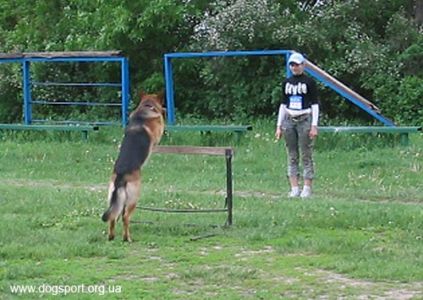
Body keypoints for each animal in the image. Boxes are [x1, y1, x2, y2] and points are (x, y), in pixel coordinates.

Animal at [102, 91, 165, 241]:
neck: (146, 107)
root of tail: (120, 176)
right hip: (133, 197)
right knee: (125, 217)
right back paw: (127, 238)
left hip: (113, 198)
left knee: (113, 217)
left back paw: (111, 236)